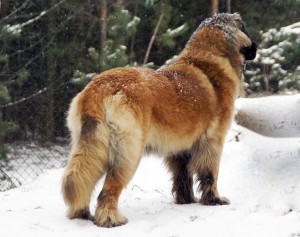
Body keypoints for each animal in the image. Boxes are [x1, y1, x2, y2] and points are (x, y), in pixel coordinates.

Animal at [61, 12, 258, 228]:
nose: (256, 47)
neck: (207, 57)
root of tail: (99, 87)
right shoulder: (212, 141)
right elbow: (209, 175)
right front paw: (214, 200)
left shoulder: (181, 148)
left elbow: (183, 177)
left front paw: (186, 201)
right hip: (128, 153)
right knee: (109, 188)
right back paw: (111, 219)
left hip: (89, 145)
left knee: (80, 178)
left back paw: (81, 214)